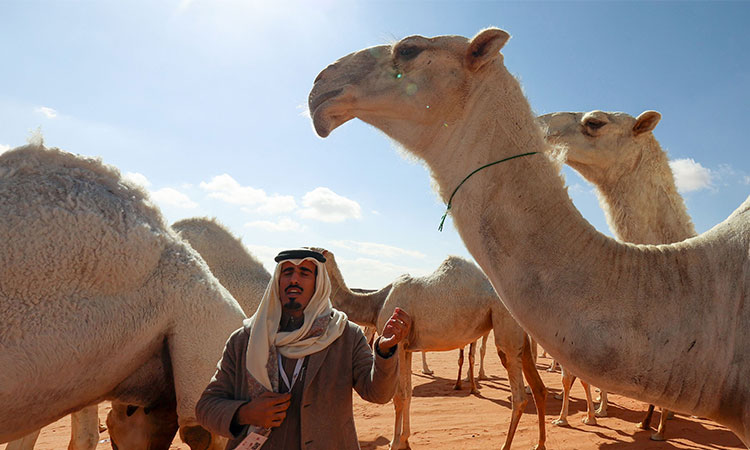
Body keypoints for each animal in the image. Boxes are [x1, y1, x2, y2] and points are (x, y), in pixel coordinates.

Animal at [316, 248, 548, 450]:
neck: (377, 302)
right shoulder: (407, 348)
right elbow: (408, 393)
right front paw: (405, 440)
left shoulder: (397, 343)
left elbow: (399, 396)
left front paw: (394, 443)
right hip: (520, 334)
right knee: (538, 387)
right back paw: (540, 444)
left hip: (505, 324)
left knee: (519, 397)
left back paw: (506, 445)